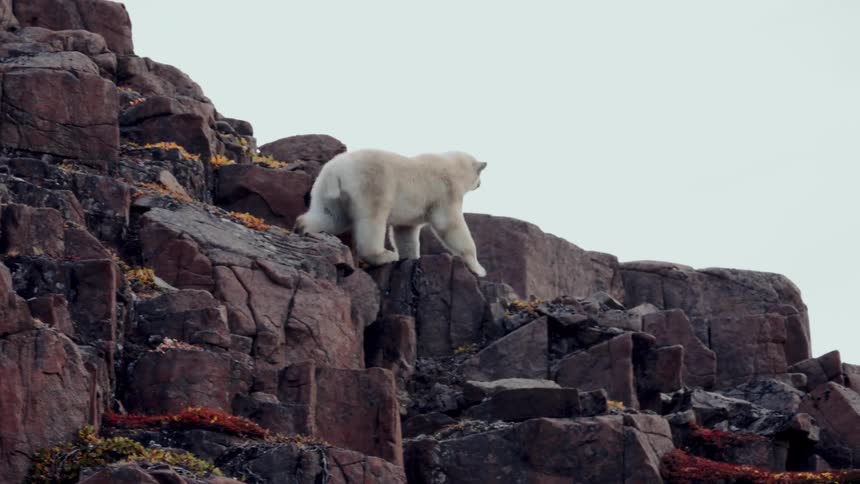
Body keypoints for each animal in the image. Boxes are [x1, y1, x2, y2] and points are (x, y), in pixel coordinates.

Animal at [294, 149, 488, 277]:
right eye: (480, 175)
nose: (480, 184)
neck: (452, 166)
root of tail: (336, 171)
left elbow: (405, 232)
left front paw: (411, 257)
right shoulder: (446, 192)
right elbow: (450, 224)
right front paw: (478, 268)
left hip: (328, 192)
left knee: (331, 216)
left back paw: (303, 228)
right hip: (372, 184)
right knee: (373, 220)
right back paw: (384, 255)